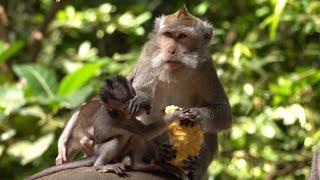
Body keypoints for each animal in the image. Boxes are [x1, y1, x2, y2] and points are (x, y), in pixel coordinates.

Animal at [28, 76, 192, 180]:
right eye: (126, 107)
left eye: (133, 96)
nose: (136, 107)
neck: (117, 114)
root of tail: (94, 156)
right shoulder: (123, 121)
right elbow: (146, 132)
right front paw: (175, 115)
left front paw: (145, 102)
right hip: (101, 151)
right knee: (118, 139)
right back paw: (100, 166)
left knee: (134, 137)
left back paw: (140, 165)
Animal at [128, 5, 232, 179]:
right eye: (168, 35)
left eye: (182, 36)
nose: (170, 50)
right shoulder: (149, 54)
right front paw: (141, 98)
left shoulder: (206, 68)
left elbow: (223, 111)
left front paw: (197, 114)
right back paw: (159, 156)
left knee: (209, 132)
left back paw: (194, 168)